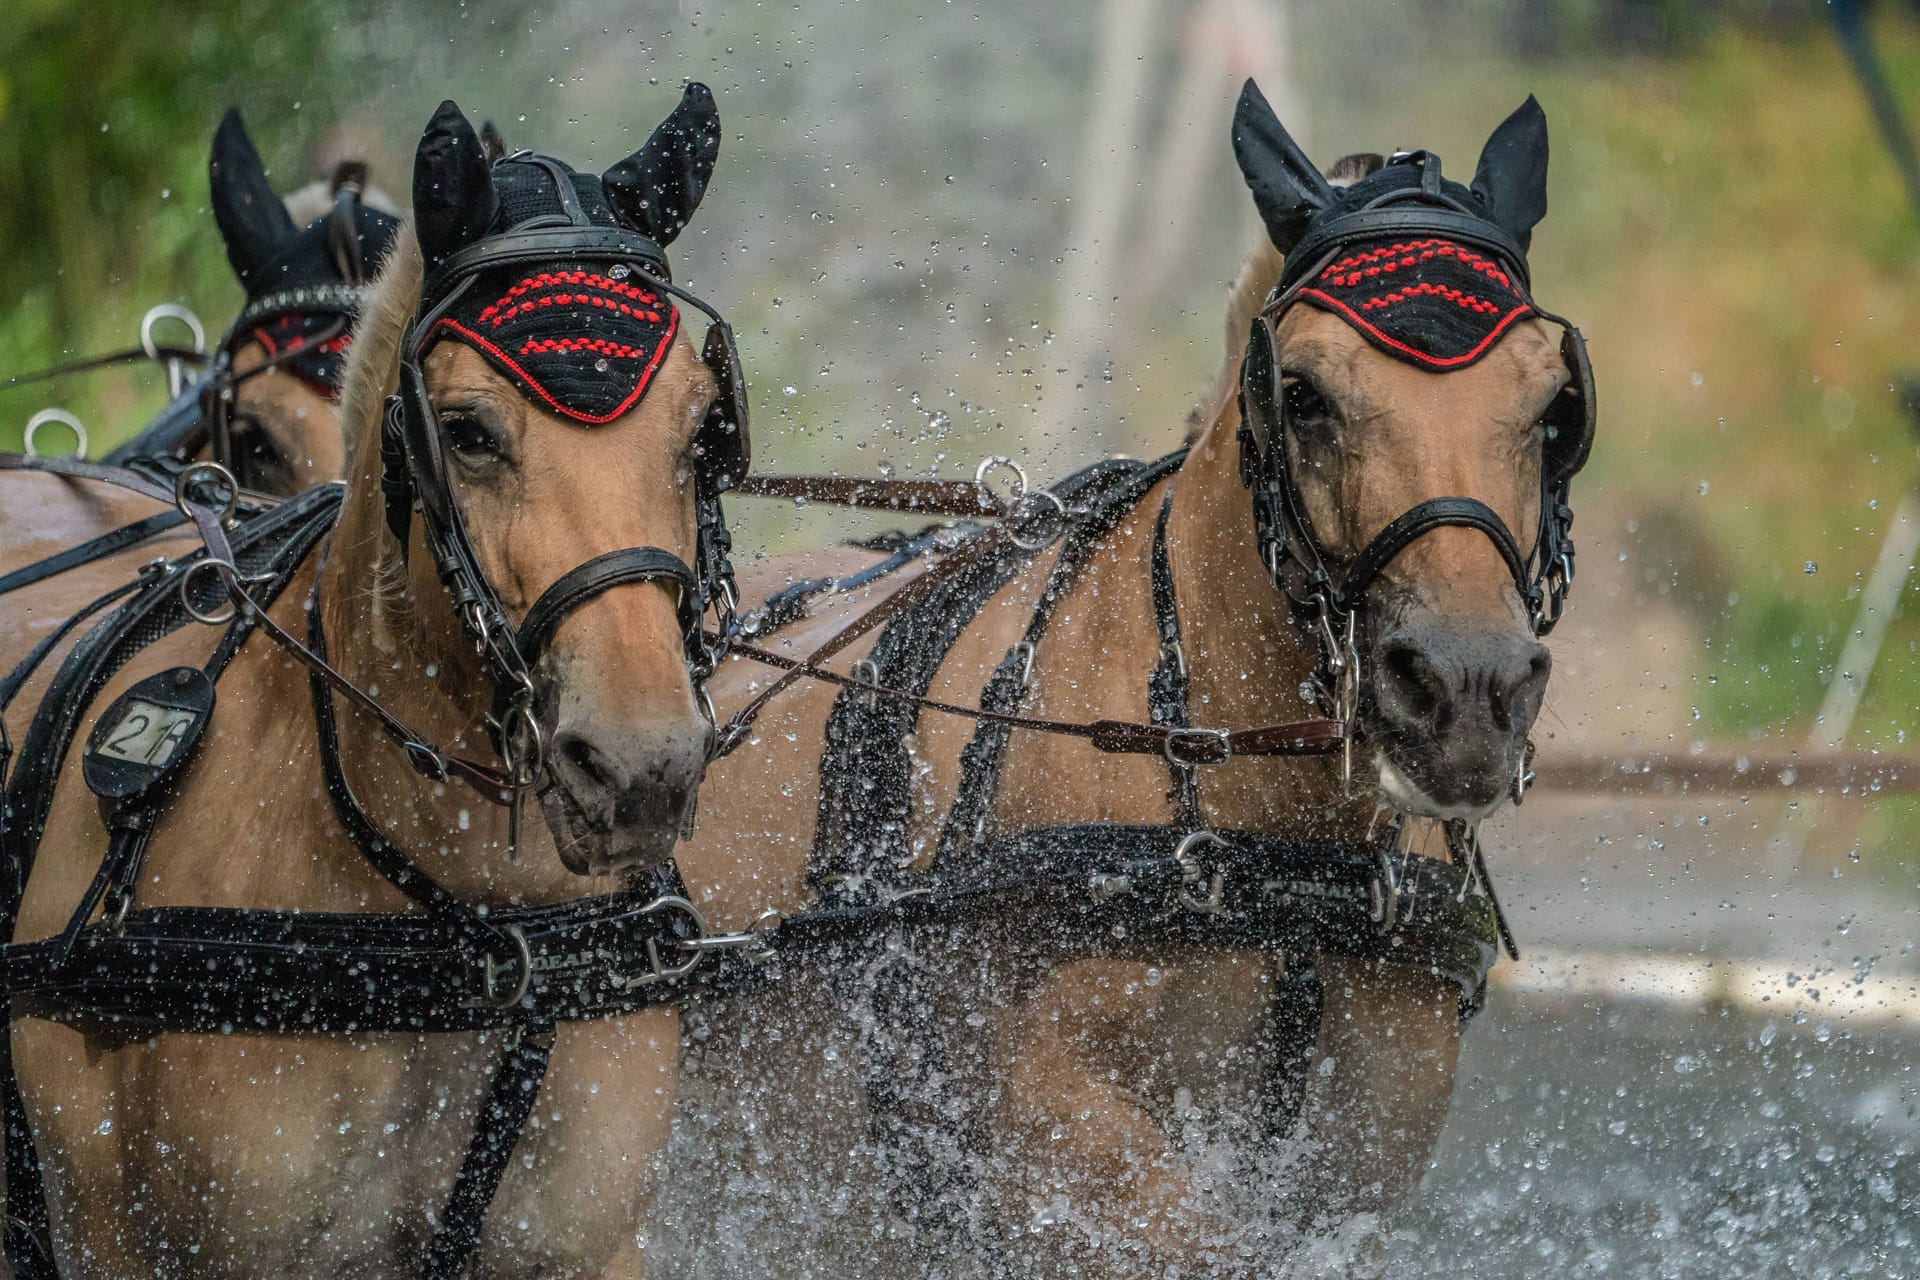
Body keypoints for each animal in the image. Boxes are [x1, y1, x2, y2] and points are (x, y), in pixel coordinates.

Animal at [652, 84, 1597, 1274]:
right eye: (1302, 394)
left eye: (1557, 406)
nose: (1466, 693)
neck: (1273, 844)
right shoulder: (1049, 1137)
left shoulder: (1354, 1167)